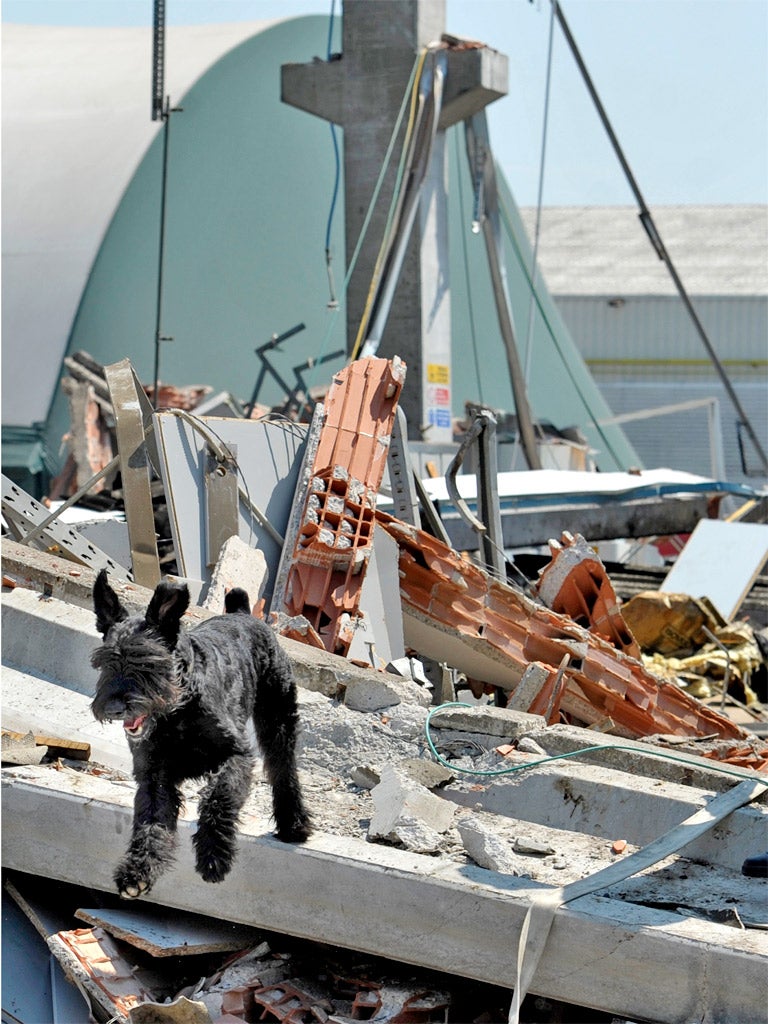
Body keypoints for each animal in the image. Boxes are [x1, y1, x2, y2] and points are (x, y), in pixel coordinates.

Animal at [92, 569, 313, 897]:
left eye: (148, 662)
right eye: (104, 662)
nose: (115, 707)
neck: (177, 713)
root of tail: (241, 612)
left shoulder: (237, 755)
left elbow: (218, 797)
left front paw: (213, 857)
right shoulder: (154, 776)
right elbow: (150, 821)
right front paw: (138, 871)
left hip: (278, 718)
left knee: (283, 769)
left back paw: (294, 826)